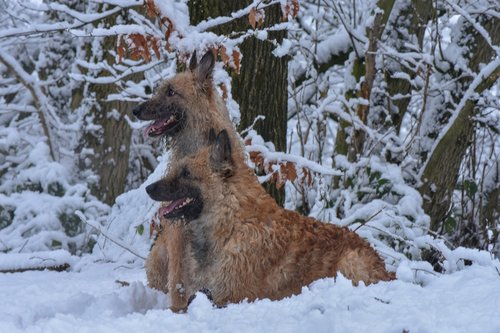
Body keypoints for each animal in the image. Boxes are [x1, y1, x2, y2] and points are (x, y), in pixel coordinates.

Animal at [146, 128, 392, 310]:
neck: (231, 222)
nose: (148, 188)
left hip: (350, 261)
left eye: (186, 173)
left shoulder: (230, 296)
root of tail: (385, 268)